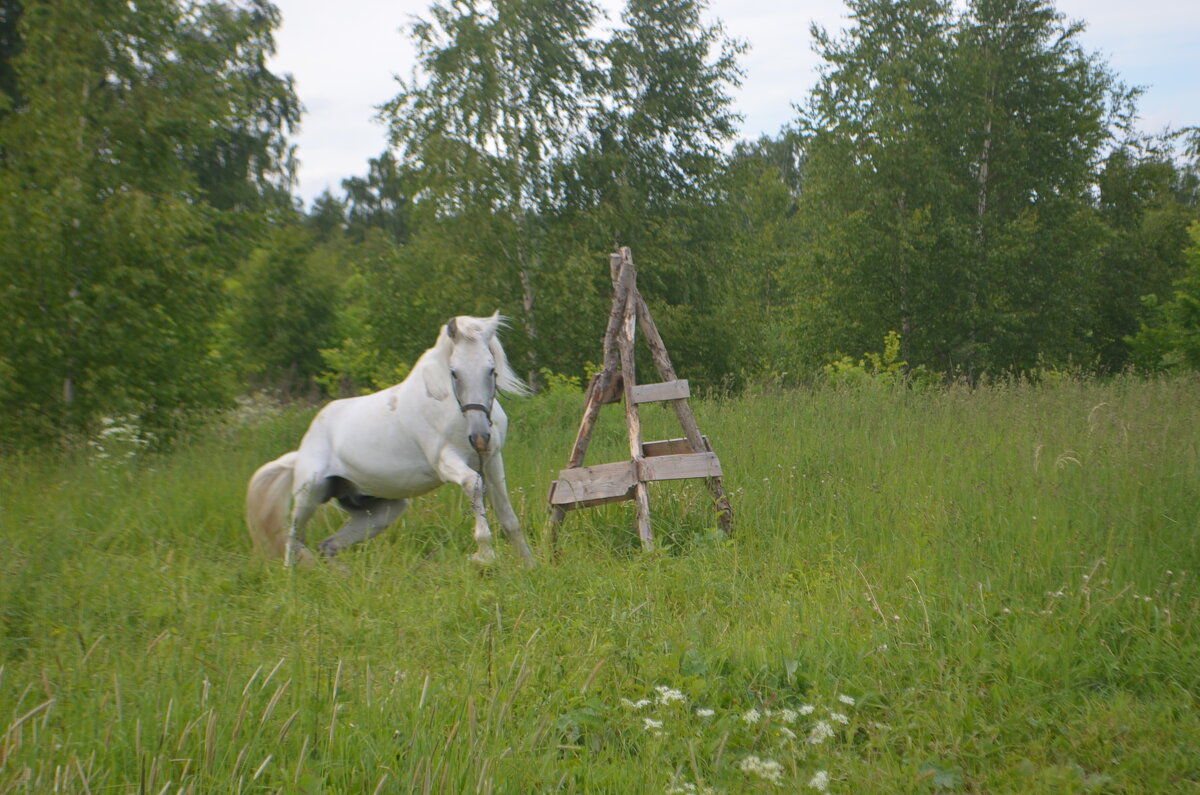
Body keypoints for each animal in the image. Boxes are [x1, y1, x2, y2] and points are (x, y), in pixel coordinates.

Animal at [243, 312, 535, 566]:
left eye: (491, 369)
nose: (479, 437)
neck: (444, 402)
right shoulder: (445, 461)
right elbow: (473, 484)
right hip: (309, 495)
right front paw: (485, 554)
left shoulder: (492, 460)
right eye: (454, 372)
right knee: (293, 541)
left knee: (327, 546)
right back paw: (291, 581)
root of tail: (300, 452)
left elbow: (508, 518)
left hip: (381, 510)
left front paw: (530, 566)